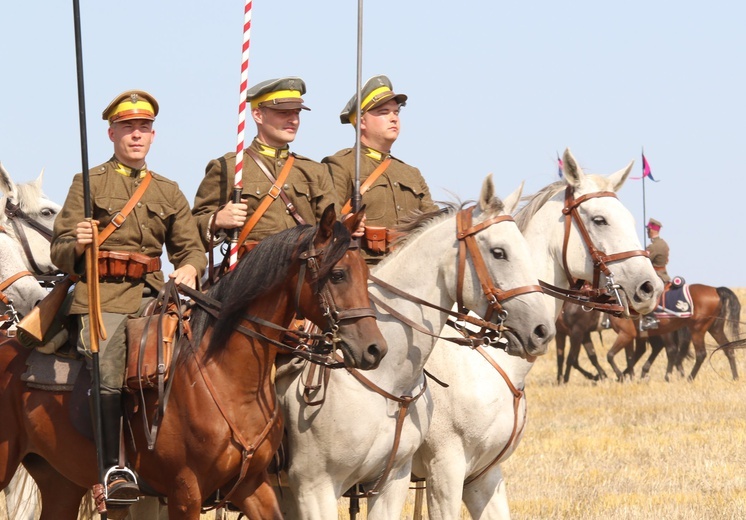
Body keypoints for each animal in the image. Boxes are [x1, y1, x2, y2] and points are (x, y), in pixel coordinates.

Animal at [0, 205, 384, 516]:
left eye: (366, 274)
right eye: (337, 274)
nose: (375, 349)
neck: (230, 379)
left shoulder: (253, 486)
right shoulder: (186, 491)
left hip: (61, 481)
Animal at [604, 284, 740, 382]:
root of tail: (716, 290)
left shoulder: (626, 335)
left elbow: (611, 355)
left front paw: (621, 375)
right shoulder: (633, 336)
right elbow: (630, 357)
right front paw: (628, 376)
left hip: (697, 330)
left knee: (700, 354)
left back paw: (689, 378)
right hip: (715, 329)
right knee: (728, 349)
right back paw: (735, 377)